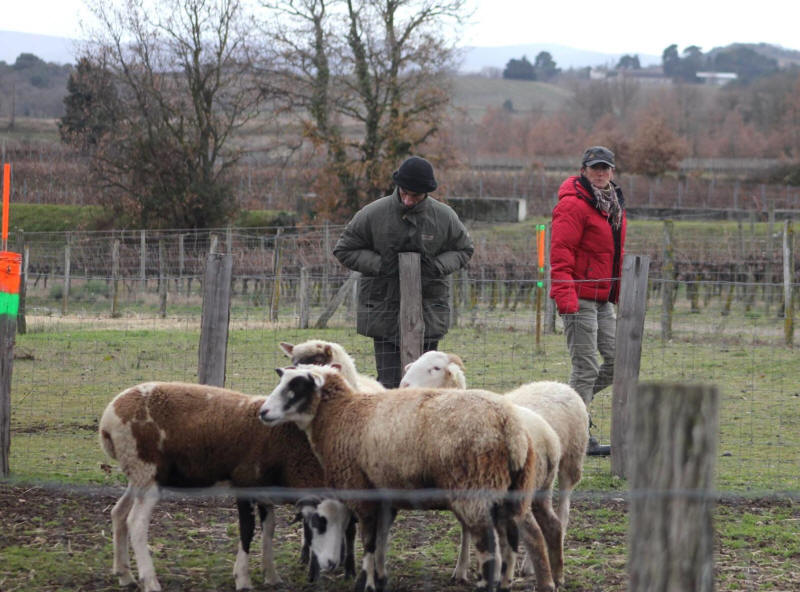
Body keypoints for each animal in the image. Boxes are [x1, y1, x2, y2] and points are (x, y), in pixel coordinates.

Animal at [97, 382, 354, 592]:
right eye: (318, 523)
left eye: (345, 525)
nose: (332, 564)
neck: (291, 453)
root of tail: (108, 420)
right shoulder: (244, 485)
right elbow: (247, 530)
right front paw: (243, 579)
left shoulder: (264, 492)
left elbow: (269, 531)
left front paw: (271, 576)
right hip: (146, 470)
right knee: (136, 523)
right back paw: (150, 581)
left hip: (138, 475)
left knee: (118, 513)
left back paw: (125, 575)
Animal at [260, 364, 560, 592]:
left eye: (296, 387)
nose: (263, 412)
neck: (340, 414)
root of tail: (511, 427)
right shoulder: (384, 494)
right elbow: (381, 540)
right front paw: (379, 579)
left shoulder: (361, 489)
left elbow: (369, 541)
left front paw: (366, 583)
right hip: (514, 489)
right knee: (523, 538)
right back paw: (527, 583)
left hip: (474, 489)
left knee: (490, 549)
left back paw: (489, 584)